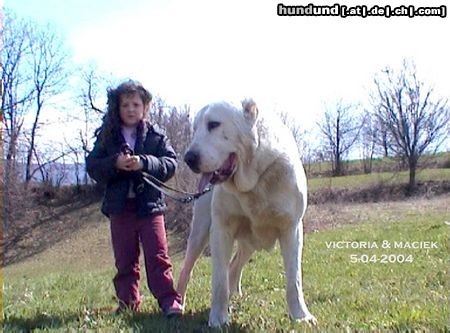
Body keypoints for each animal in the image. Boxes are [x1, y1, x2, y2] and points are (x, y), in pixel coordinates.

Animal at [177, 98, 316, 326]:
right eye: (194, 129)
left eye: (214, 124)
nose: (189, 158)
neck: (255, 179)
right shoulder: (221, 230)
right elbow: (218, 280)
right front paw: (218, 318)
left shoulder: (292, 230)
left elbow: (294, 279)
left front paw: (301, 316)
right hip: (199, 233)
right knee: (187, 270)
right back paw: (178, 303)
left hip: (251, 241)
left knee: (234, 266)